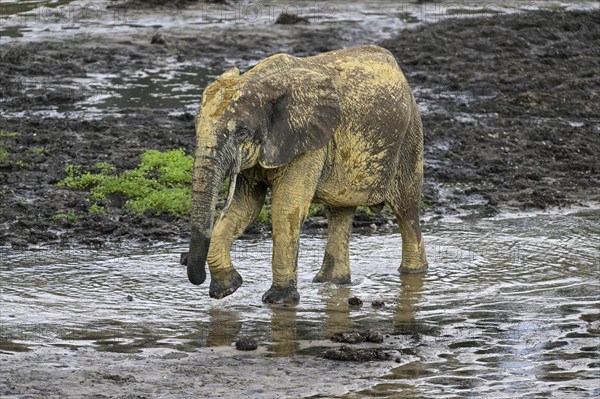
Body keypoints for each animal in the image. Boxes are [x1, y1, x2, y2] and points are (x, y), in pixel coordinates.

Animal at [183, 44, 426, 306]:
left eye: (241, 132)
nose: (184, 259)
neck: (260, 84)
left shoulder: (307, 142)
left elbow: (285, 208)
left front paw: (278, 301)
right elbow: (244, 209)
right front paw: (227, 288)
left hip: (411, 133)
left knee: (406, 208)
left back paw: (413, 274)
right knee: (340, 212)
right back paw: (331, 282)